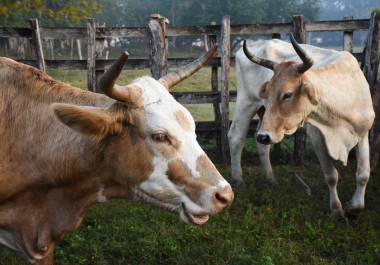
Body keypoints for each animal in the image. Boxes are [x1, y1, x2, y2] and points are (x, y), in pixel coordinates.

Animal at [229, 35, 374, 217]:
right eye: (268, 93)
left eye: (288, 94)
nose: (265, 136)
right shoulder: (317, 137)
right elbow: (331, 175)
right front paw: (336, 209)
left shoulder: (363, 134)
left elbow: (363, 174)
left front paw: (355, 206)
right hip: (246, 103)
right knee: (236, 137)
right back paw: (238, 180)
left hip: (264, 117)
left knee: (261, 144)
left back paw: (271, 180)